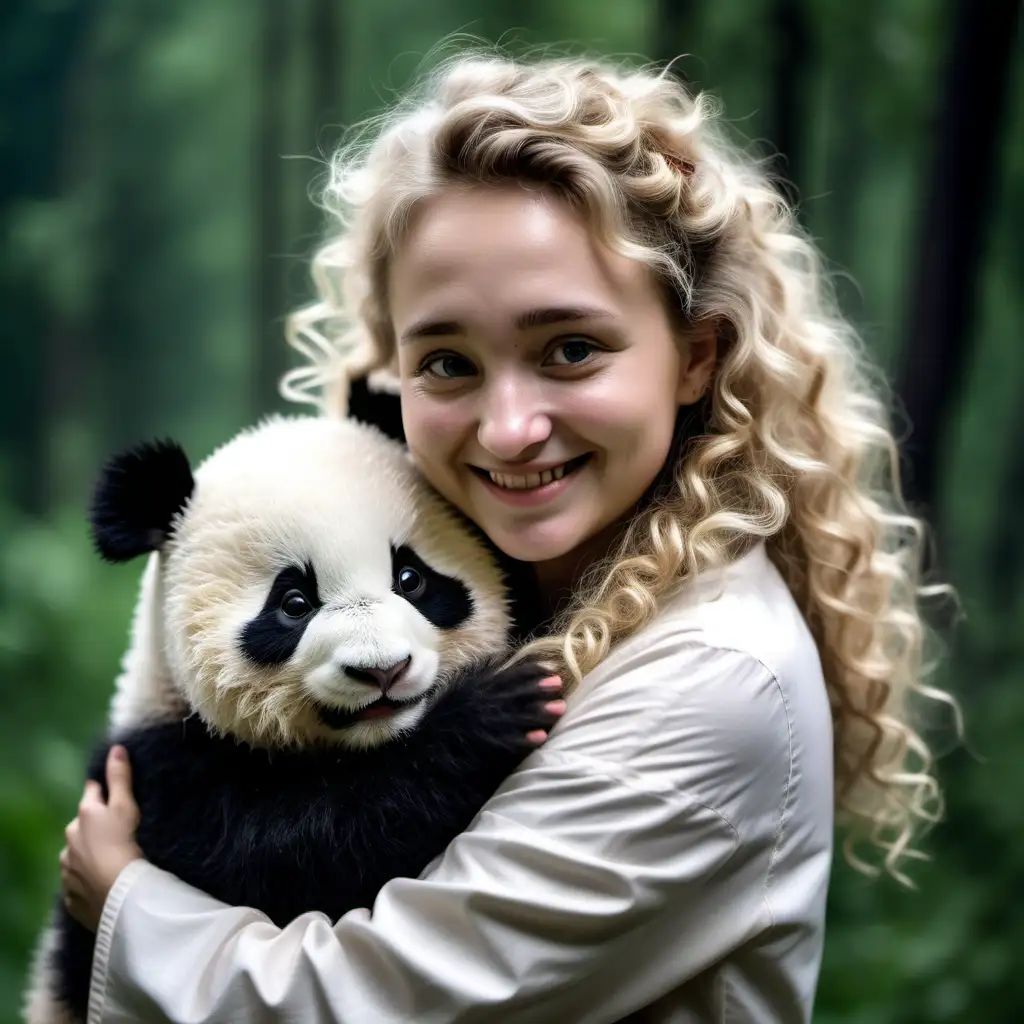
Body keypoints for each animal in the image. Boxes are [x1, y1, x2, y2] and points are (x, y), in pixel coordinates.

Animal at [28, 413, 561, 1024]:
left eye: (411, 578)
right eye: (294, 604)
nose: (382, 670)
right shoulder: (162, 777)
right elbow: (295, 855)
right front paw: (491, 709)